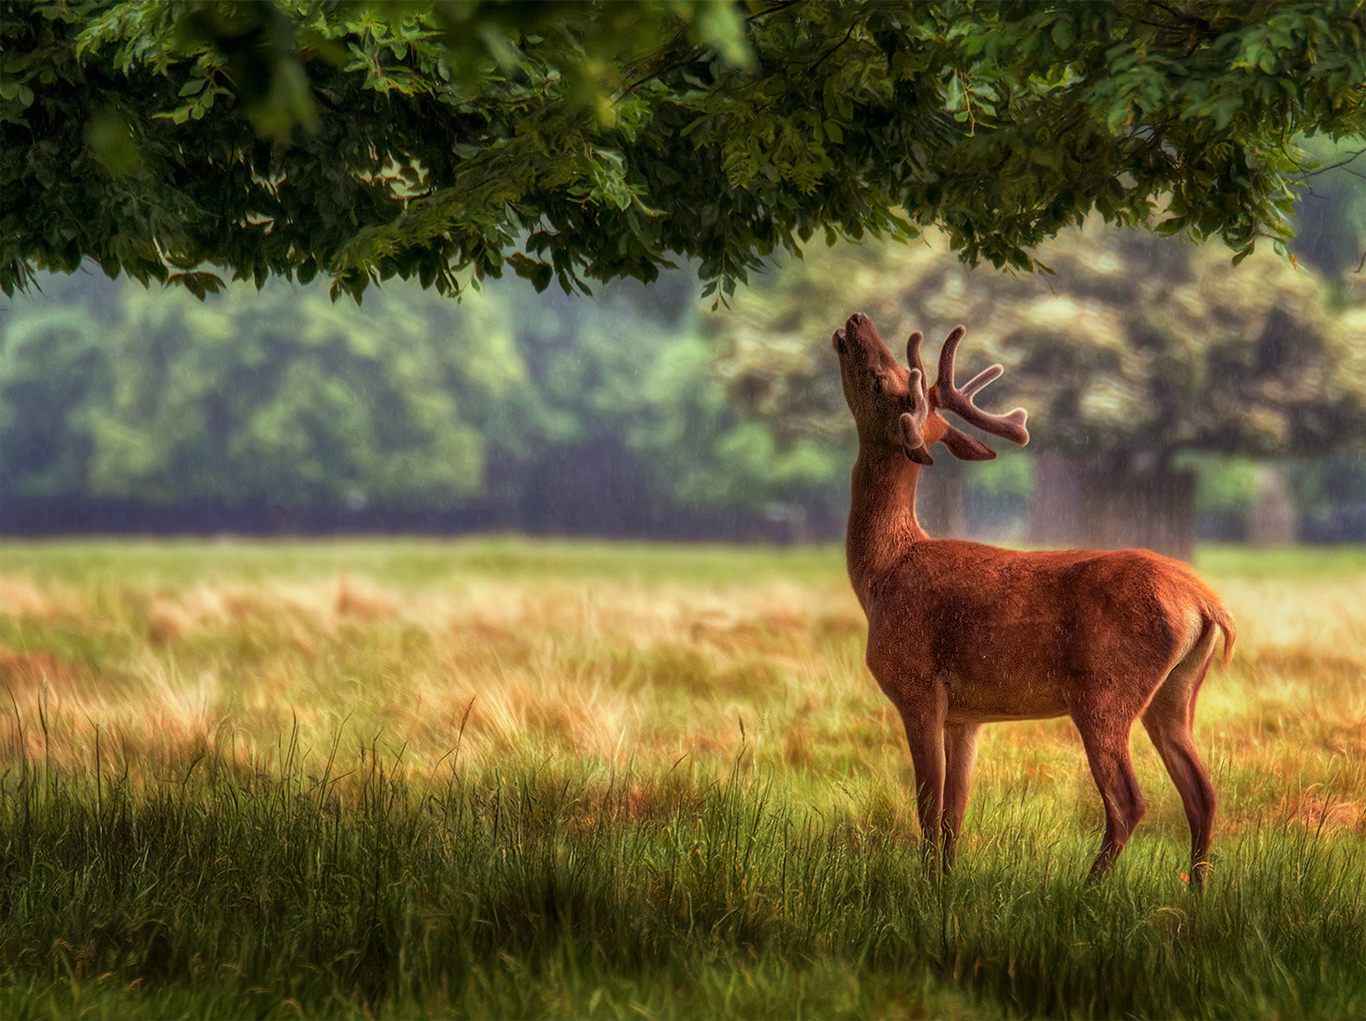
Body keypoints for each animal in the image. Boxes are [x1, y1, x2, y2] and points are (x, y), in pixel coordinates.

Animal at [832, 312, 1235, 886]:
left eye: (882, 380)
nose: (856, 319)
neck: (882, 575)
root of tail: (1205, 602)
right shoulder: (967, 715)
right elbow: (955, 812)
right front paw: (946, 885)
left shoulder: (917, 688)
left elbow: (928, 807)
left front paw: (925, 886)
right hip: (1176, 693)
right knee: (1201, 794)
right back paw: (1196, 894)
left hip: (1105, 690)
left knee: (1128, 800)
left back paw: (1087, 889)